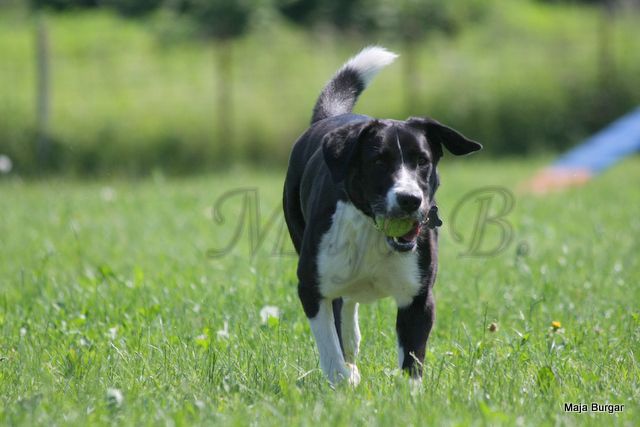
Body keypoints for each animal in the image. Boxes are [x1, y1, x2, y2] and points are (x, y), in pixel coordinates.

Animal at [284, 46, 480, 388]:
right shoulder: (311, 287)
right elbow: (330, 347)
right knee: (342, 307)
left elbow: (413, 357)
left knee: (348, 305)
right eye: (379, 161)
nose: (410, 199)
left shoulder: (419, 297)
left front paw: (410, 395)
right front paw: (343, 381)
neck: (373, 232)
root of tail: (330, 118)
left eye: (422, 161)